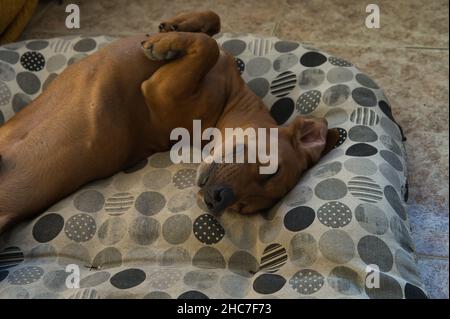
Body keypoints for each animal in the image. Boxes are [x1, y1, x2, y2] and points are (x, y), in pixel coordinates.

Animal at [0, 11, 338, 234]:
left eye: (245, 209)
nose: (217, 201)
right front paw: (175, 27)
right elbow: (213, 25)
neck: (228, 102)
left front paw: (168, 41)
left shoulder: (160, 91)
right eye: (272, 171)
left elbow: (206, 46)